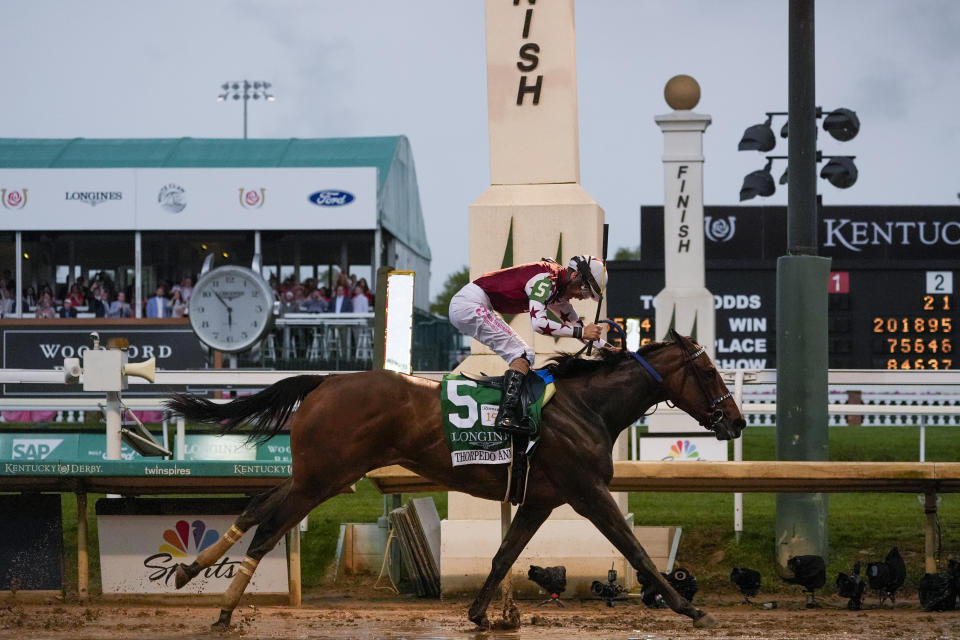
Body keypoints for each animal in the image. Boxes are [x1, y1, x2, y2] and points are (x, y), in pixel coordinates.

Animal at [169, 330, 748, 632]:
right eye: (710, 373)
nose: (738, 421)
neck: (587, 407)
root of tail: (326, 381)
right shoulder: (587, 492)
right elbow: (636, 549)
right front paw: (689, 607)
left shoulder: (540, 499)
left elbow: (505, 554)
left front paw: (479, 613)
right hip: (325, 476)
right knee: (270, 527)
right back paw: (223, 609)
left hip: (320, 472)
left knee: (258, 506)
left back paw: (191, 570)